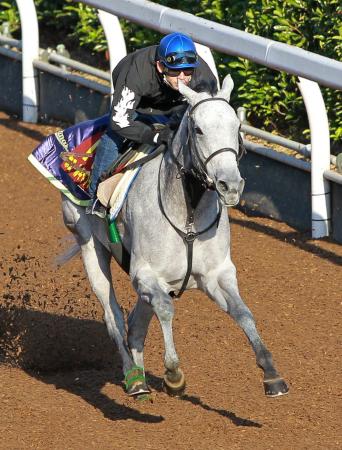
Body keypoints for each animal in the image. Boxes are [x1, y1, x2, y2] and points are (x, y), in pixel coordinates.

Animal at [61, 75, 288, 400]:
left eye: (236, 127)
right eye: (199, 129)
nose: (230, 185)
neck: (187, 214)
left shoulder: (216, 274)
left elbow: (244, 313)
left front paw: (271, 374)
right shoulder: (144, 274)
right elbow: (166, 311)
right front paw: (173, 373)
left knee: (136, 324)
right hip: (88, 243)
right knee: (113, 315)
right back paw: (134, 378)